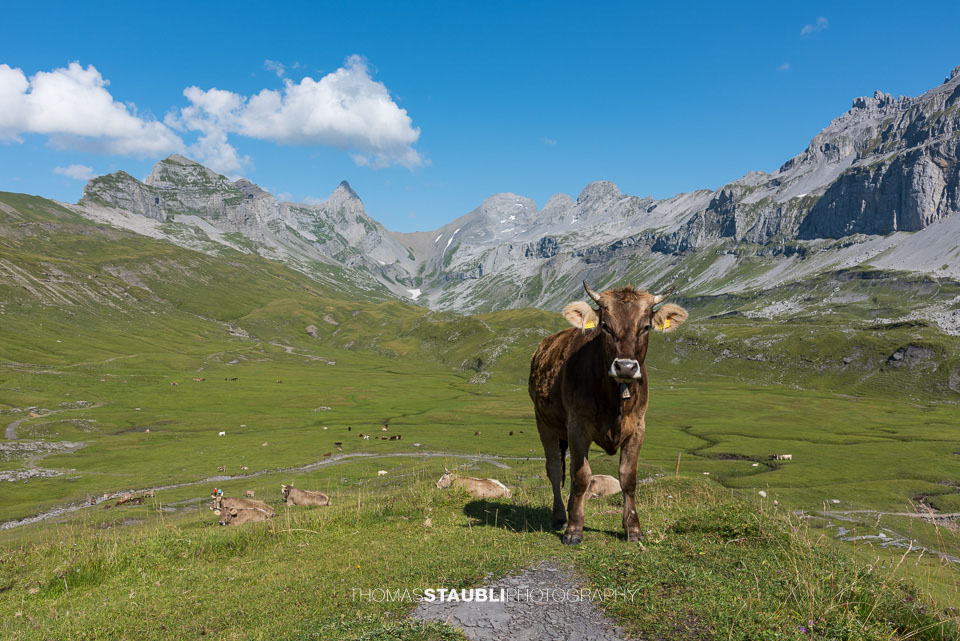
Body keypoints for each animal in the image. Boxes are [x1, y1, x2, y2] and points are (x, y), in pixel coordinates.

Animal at [529, 281, 687, 545]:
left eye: (645, 327)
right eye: (605, 326)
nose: (625, 367)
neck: (615, 400)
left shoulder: (638, 427)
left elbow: (628, 478)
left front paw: (633, 529)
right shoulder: (577, 426)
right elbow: (581, 476)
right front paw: (574, 530)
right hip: (545, 423)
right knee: (554, 469)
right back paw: (561, 517)